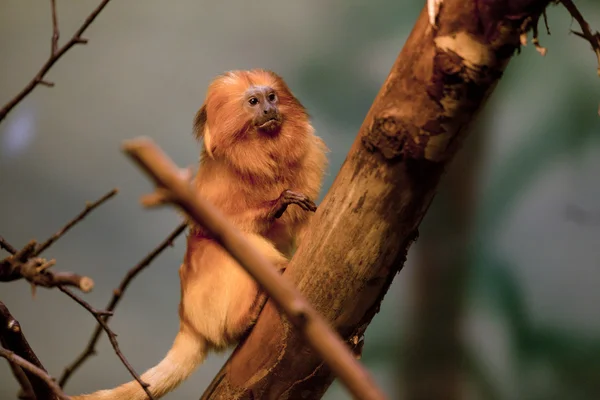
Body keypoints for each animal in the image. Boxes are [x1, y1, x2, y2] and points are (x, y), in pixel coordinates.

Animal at [72, 69, 330, 400]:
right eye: (254, 102)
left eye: (272, 97)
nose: (269, 109)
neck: (264, 157)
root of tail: (188, 321)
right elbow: (217, 230)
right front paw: (277, 204)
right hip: (205, 301)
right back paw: (250, 311)